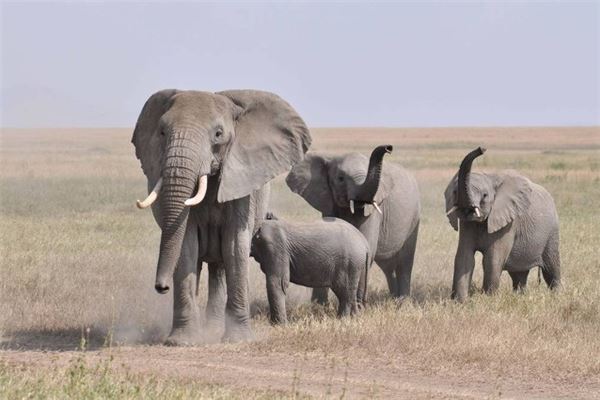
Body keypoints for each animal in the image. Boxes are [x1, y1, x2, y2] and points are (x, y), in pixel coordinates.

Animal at [131, 88, 310, 344]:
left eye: (218, 134)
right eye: (162, 132)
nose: (161, 287)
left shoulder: (242, 180)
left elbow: (234, 245)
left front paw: (238, 340)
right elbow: (185, 244)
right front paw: (181, 342)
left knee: (221, 263)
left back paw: (213, 329)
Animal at [442, 147, 560, 300]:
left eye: (485, 195)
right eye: (455, 192)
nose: (482, 149)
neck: (491, 178)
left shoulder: (508, 223)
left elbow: (492, 259)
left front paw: (488, 299)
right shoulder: (467, 223)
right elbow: (464, 256)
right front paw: (459, 302)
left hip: (552, 232)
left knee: (551, 267)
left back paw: (558, 295)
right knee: (518, 274)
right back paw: (519, 296)